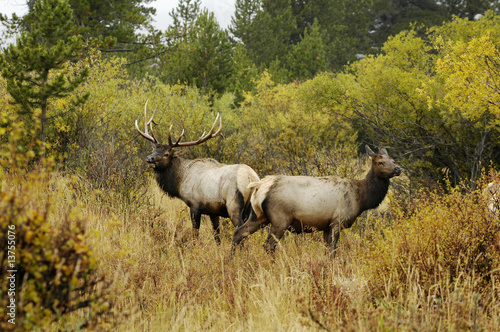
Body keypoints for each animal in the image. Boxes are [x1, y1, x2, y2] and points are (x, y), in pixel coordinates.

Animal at [137, 101, 262, 244]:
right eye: (153, 150)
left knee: (241, 232)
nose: (149, 159)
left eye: (166, 154)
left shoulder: (194, 205)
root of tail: (251, 178)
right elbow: (216, 234)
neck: (180, 182)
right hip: (252, 209)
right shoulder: (213, 211)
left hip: (234, 206)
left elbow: (195, 233)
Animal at [231, 145, 402, 254]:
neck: (361, 198)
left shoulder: (326, 225)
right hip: (280, 219)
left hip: (258, 216)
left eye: (393, 160)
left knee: (239, 232)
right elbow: (333, 250)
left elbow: (327, 250)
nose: (398, 168)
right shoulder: (337, 221)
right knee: (268, 245)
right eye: (380, 162)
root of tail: (260, 187)